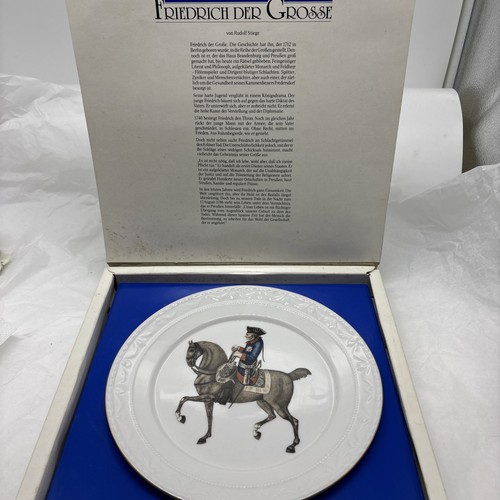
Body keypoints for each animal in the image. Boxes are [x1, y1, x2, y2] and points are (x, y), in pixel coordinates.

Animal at [175, 340, 311, 453]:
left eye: (191, 349)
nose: (188, 362)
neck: (211, 374)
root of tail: (289, 375)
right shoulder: (208, 400)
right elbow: (209, 417)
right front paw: (205, 437)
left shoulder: (208, 397)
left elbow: (184, 398)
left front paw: (180, 417)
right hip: (262, 402)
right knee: (272, 416)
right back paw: (256, 431)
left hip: (279, 406)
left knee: (294, 420)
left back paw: (292, 446)